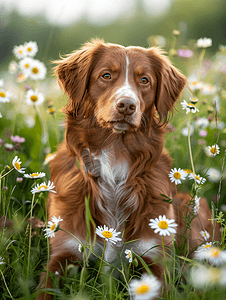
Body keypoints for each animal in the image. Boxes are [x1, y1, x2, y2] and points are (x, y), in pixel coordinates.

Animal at [36, 40, 219, 300]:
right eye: (106, 75)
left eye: (144, 80)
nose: (127, 105)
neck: (115, 154)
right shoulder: (65, 251)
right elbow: (47, 286)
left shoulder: (152, 257)